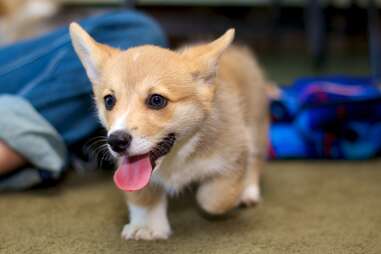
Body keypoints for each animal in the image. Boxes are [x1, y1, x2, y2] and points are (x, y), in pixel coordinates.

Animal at [70, 23, 268, 240]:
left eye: (157, 100)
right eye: (109, 100)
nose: (116, 141)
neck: (177, 157)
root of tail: (238, 52)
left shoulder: (234, 152)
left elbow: (213, 199)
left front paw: (232, 193)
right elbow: (142, 196)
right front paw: (146, 226)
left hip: (255, 126)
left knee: (255, 160)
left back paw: (249, 191)